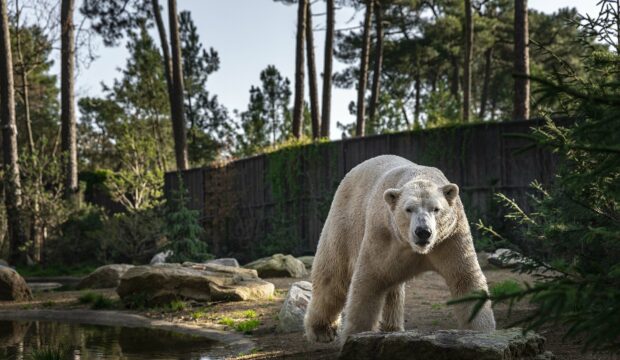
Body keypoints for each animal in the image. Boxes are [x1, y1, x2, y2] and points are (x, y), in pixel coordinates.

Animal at [302, 154, 496, 344]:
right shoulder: (383, 234)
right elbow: (369, 281)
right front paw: (356, 335)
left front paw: (483, 333)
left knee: (391, 289)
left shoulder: (450, 238)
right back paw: (322, 330)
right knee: (332, 276)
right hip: (345, 222)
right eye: (408, 209)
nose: (423, 232)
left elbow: (465, 279)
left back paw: (391, 328)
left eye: (436, 209)